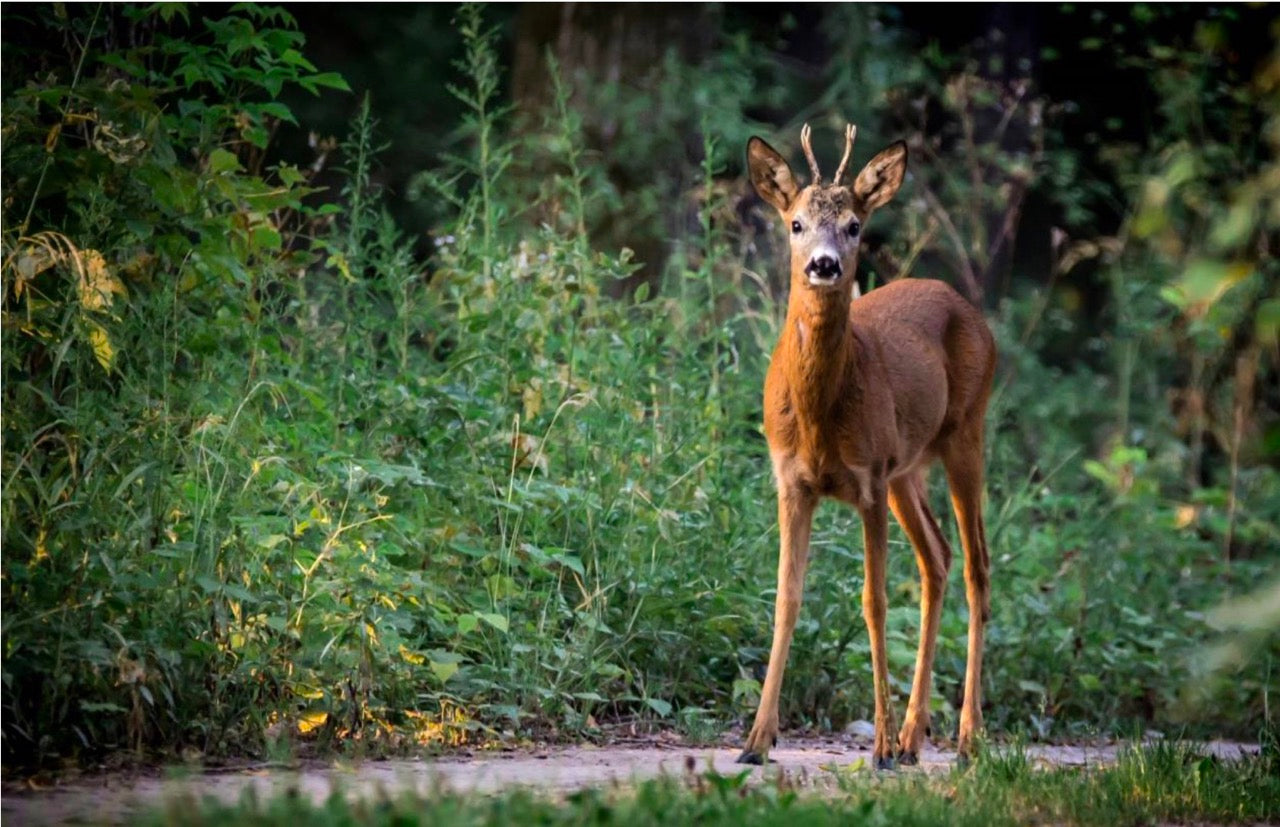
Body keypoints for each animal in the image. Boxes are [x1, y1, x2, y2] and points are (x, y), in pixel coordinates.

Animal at [737, 122, 993, 773]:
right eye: (795, 223)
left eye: (854, 225)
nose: (825, 265)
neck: (818, 418)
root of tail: (967, 306)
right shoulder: (791, 480)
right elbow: (786, 598)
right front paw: (755, 740)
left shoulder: (868, 478)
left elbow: (873, 602)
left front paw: (875, 747)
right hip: (909, 469)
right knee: (938, 557)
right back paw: (912, 737)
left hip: (965, 433)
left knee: (976, 566)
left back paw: (965, 738)